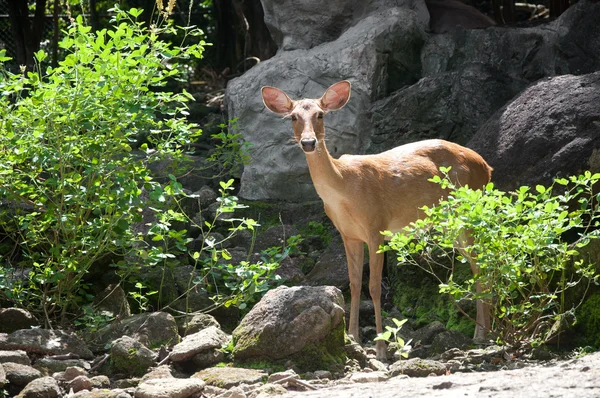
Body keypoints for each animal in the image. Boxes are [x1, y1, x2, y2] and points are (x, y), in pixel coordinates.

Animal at [262, 81, 492, 360]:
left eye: (320, 114)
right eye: (293, 117)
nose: (308, 142)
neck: (343, 188)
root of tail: (487, 167)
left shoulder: (377, 226)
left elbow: (373, 287)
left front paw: (381, 348)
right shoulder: (348, 234)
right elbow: (353, 284)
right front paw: (353, 338)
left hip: (469, 208)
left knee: (482, 262)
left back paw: (482, 335)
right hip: (453, 224)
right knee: (478, 262)